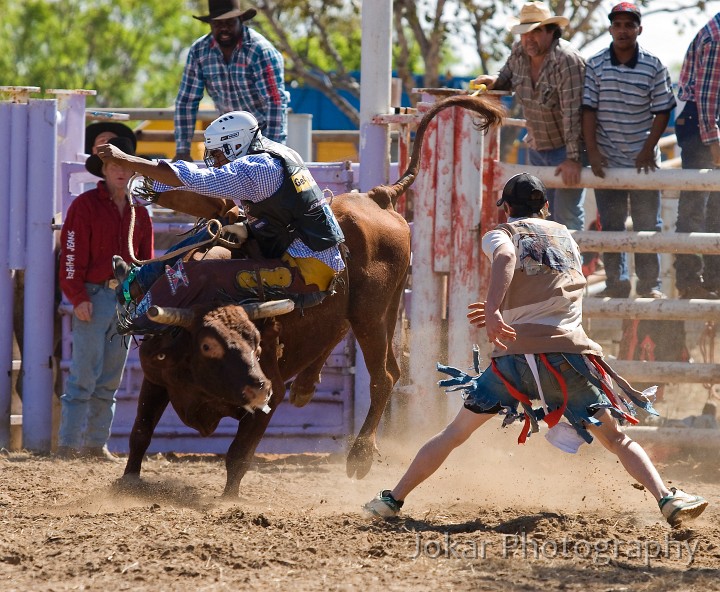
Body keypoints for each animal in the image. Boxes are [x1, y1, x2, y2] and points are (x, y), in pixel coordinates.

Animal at [121, 96, 504, 494]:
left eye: (256, 342)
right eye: (209, 345)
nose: (257, 385)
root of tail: (378, 197)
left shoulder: (268, 397)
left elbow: (238, 454)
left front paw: (228, 498)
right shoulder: (156, 376)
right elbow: (140, 434)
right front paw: (128, 483)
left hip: (370, 312)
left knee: (382, 376)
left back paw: (360, 455)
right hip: (380, 306)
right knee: (372, 354)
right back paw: (307, 387)